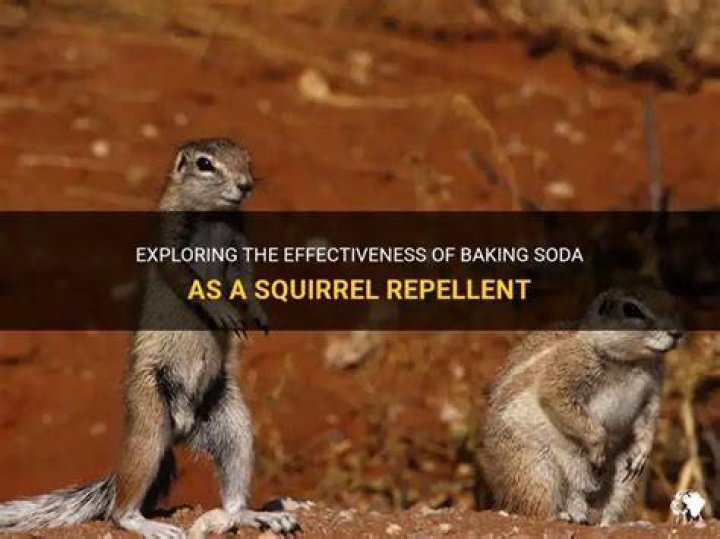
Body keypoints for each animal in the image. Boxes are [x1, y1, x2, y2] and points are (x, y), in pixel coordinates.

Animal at [0, 138, 299, 538]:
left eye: (247, 159)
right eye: (205, 164)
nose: (246, 184)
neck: (212, 218)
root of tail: (182, 429)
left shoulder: (239, 244)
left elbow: (246, 278)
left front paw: (258, 312)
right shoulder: (171, 242)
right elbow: (188, 279)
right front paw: (222, 310)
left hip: (232, 423)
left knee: (233, 492)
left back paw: (258, 515)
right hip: (150, 416)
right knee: (119, 509)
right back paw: (148, 524)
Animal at [482, 288, 682, 525]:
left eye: (671, 299)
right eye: (632, 309)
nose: (677, 333)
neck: (630, 363)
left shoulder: (652, 392)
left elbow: (649, 419)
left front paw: (643, 451)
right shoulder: (566, 372)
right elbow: (557, 401)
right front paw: (598, 448)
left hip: (622, 480)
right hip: (534, 466)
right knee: (536, 507)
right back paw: (561, 516)